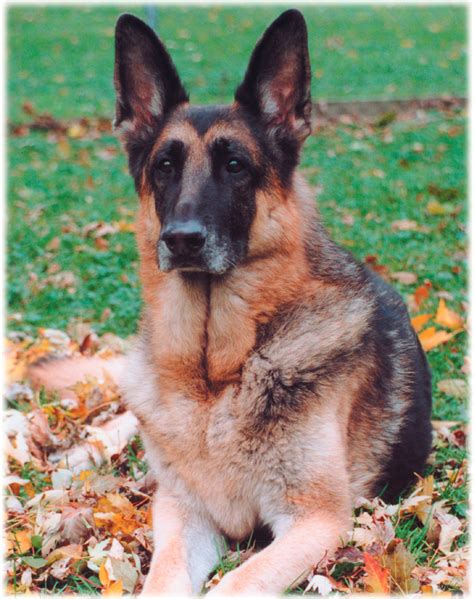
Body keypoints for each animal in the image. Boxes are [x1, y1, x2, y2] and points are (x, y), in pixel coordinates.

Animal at [33, 8, 434, 596]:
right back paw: (77, 456)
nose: (181, 239)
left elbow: (237, 583)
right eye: (165, 166)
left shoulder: (315, 519)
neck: (218, 375)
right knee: (124, 418)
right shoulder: (182, 512)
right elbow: (163, 578)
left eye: (236, 165)